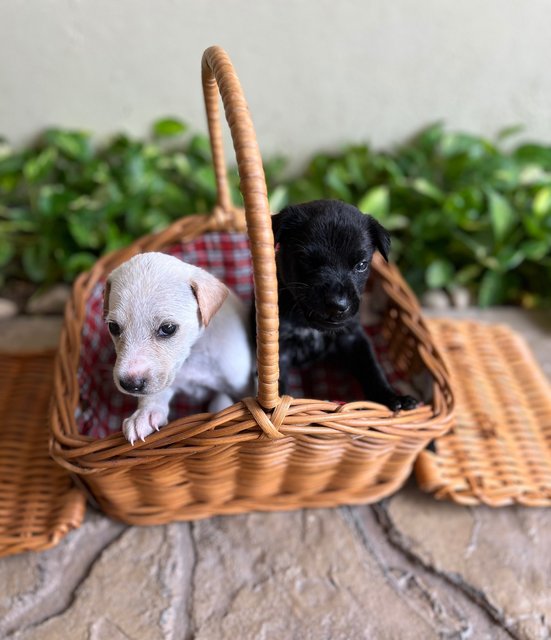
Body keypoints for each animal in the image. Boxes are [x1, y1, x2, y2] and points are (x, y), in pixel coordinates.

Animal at [103, 251, 254, 444]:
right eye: (113, 327)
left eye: (168, 328)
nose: (130, 385)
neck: (193, 356)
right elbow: (155, 395)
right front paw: (143, 416)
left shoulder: (241, 386)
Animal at [272, 198, 418, 412]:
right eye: (306, 261)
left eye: (361, 265)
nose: (338, 304)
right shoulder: (281, 344)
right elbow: (277, 378)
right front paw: (279, 408)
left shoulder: (353, 337)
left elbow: (371, 368)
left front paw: (392, 397)